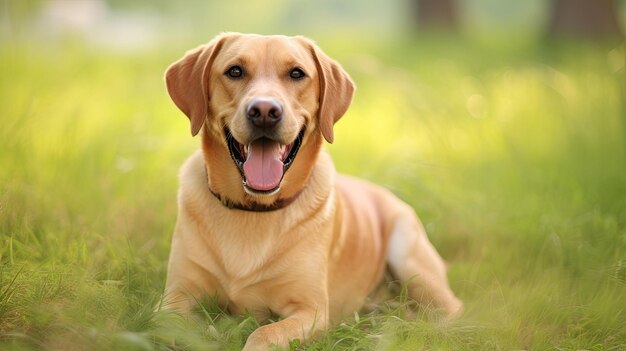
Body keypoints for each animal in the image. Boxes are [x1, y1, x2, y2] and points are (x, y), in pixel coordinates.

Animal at [163, 32, 460, 350]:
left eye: (296, 74)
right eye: (235, 71)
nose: (264, 112)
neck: (254, 208)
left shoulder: (311, 310)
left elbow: (262, 334)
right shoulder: (174, 299)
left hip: (407, 253)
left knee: (451, 310)